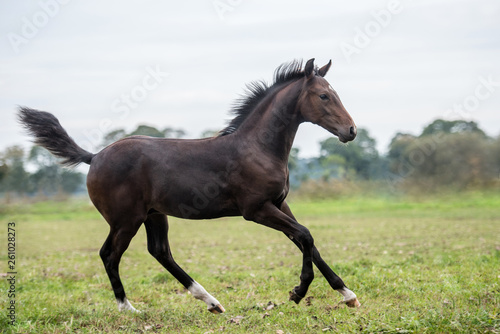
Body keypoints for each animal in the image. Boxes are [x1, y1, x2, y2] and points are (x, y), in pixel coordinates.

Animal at [16, 58, 360, 314]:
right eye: (324, 96)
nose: (351, 130)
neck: (257, 147)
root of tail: (94, 156)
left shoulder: (279, 204)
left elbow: (306, 241)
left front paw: (347, 294)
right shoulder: (256, 210)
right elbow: (305, 235)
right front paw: (298, 292)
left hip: (154, 214)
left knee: (160, 252)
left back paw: (211, 302)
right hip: (126, 219)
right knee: (109, 254)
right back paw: (128, 307)